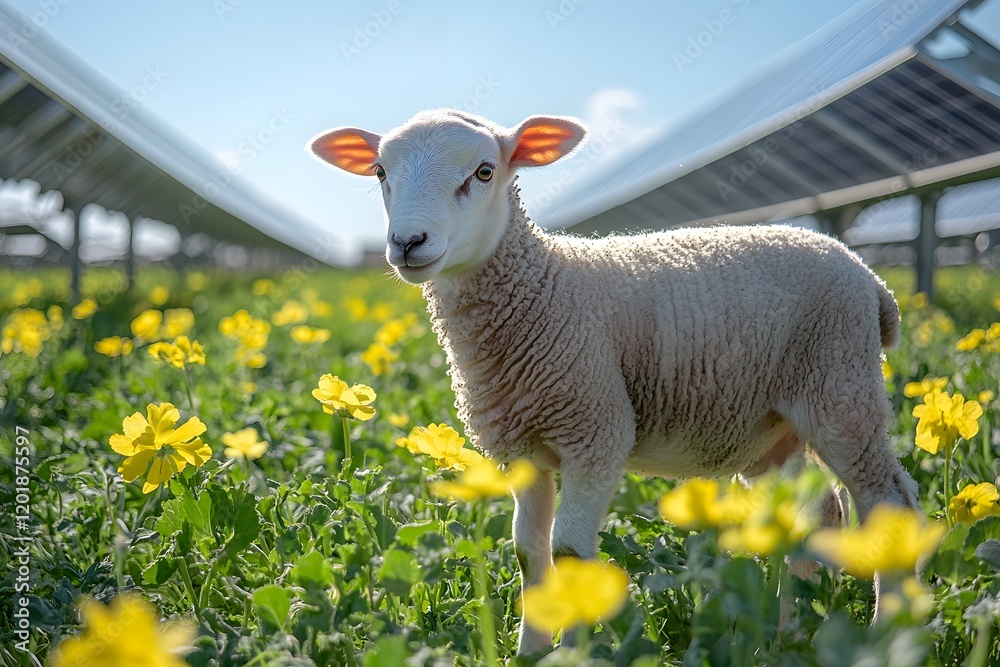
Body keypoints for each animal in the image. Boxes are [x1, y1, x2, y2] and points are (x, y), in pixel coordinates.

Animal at [307, 109, 920, 654]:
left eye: (483, 171)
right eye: (381, 172)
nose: (408, 242)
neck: (545, 287)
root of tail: (871, 279)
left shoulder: (596, 431)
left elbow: (570, 555)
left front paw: (572, 652)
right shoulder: (519, 447)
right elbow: (529, 554)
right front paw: (530, 651)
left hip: (842, 388)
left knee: (888, 502)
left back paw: (885, 633)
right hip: (772, 430)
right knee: (819, 515)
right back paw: (793, 631)